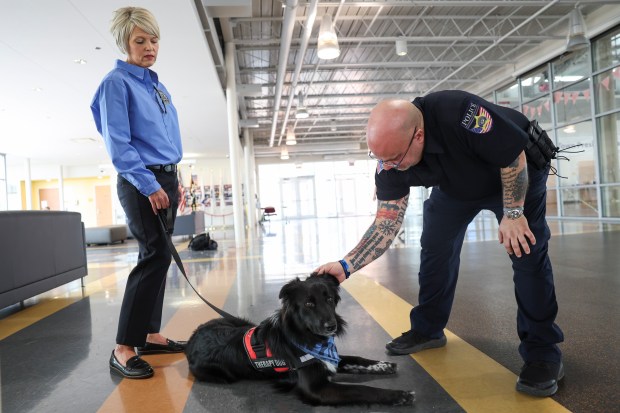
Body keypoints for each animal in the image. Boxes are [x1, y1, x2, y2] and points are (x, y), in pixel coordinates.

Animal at [186, 272, 414, 404]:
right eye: (309, 304)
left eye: (329, 299)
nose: (331, 326)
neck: (307, 337)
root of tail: (190, 341)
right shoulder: (316, 389)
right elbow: (362, 390)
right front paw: (399, 395)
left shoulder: (330, 359)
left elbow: (358, 359)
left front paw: (384, 365)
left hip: (241, 322)